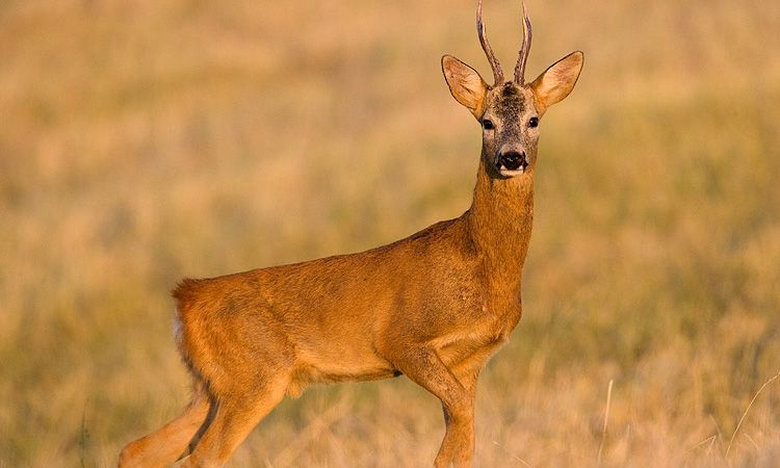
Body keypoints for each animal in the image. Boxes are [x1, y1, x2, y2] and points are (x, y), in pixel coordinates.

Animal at [119, 0, 580, 468]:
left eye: (534, 119)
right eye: (486, 122)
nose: (511, 157)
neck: (481, 261)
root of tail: (186, 299)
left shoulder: (471, 363)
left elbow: (459, 446)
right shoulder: (403, 341)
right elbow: (457, 430)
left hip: (210, 385)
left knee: (139, 448)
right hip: (252, 379)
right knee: (202, 456)